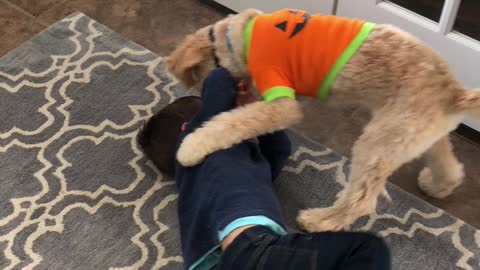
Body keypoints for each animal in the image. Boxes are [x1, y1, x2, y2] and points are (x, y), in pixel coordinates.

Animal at [166, 8, 480, 232]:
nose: (199, 95)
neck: (241, 37)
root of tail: (454, 92)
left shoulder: (281, 101)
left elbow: (235, 121)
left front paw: (193, 146)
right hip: (411, 135)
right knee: (447, 161)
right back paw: (439, 185)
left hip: (378, 144)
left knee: (360, 201)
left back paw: (320, 221)